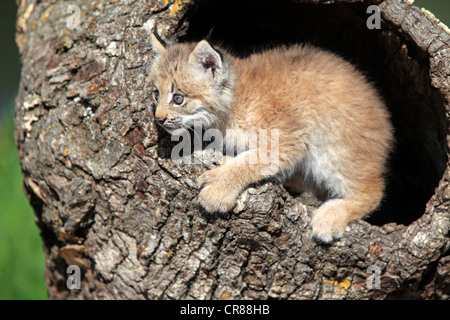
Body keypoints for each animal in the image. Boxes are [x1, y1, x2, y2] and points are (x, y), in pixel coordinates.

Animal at [149, 28, 392, 242]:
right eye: (156, 94)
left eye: (178, 98)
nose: (159, 119)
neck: (234, 102)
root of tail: (385, 121)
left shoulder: (288, 140)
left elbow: (250, 161)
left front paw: (218, 189)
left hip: (334, 149)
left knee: (374, 191)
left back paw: (330, 217)